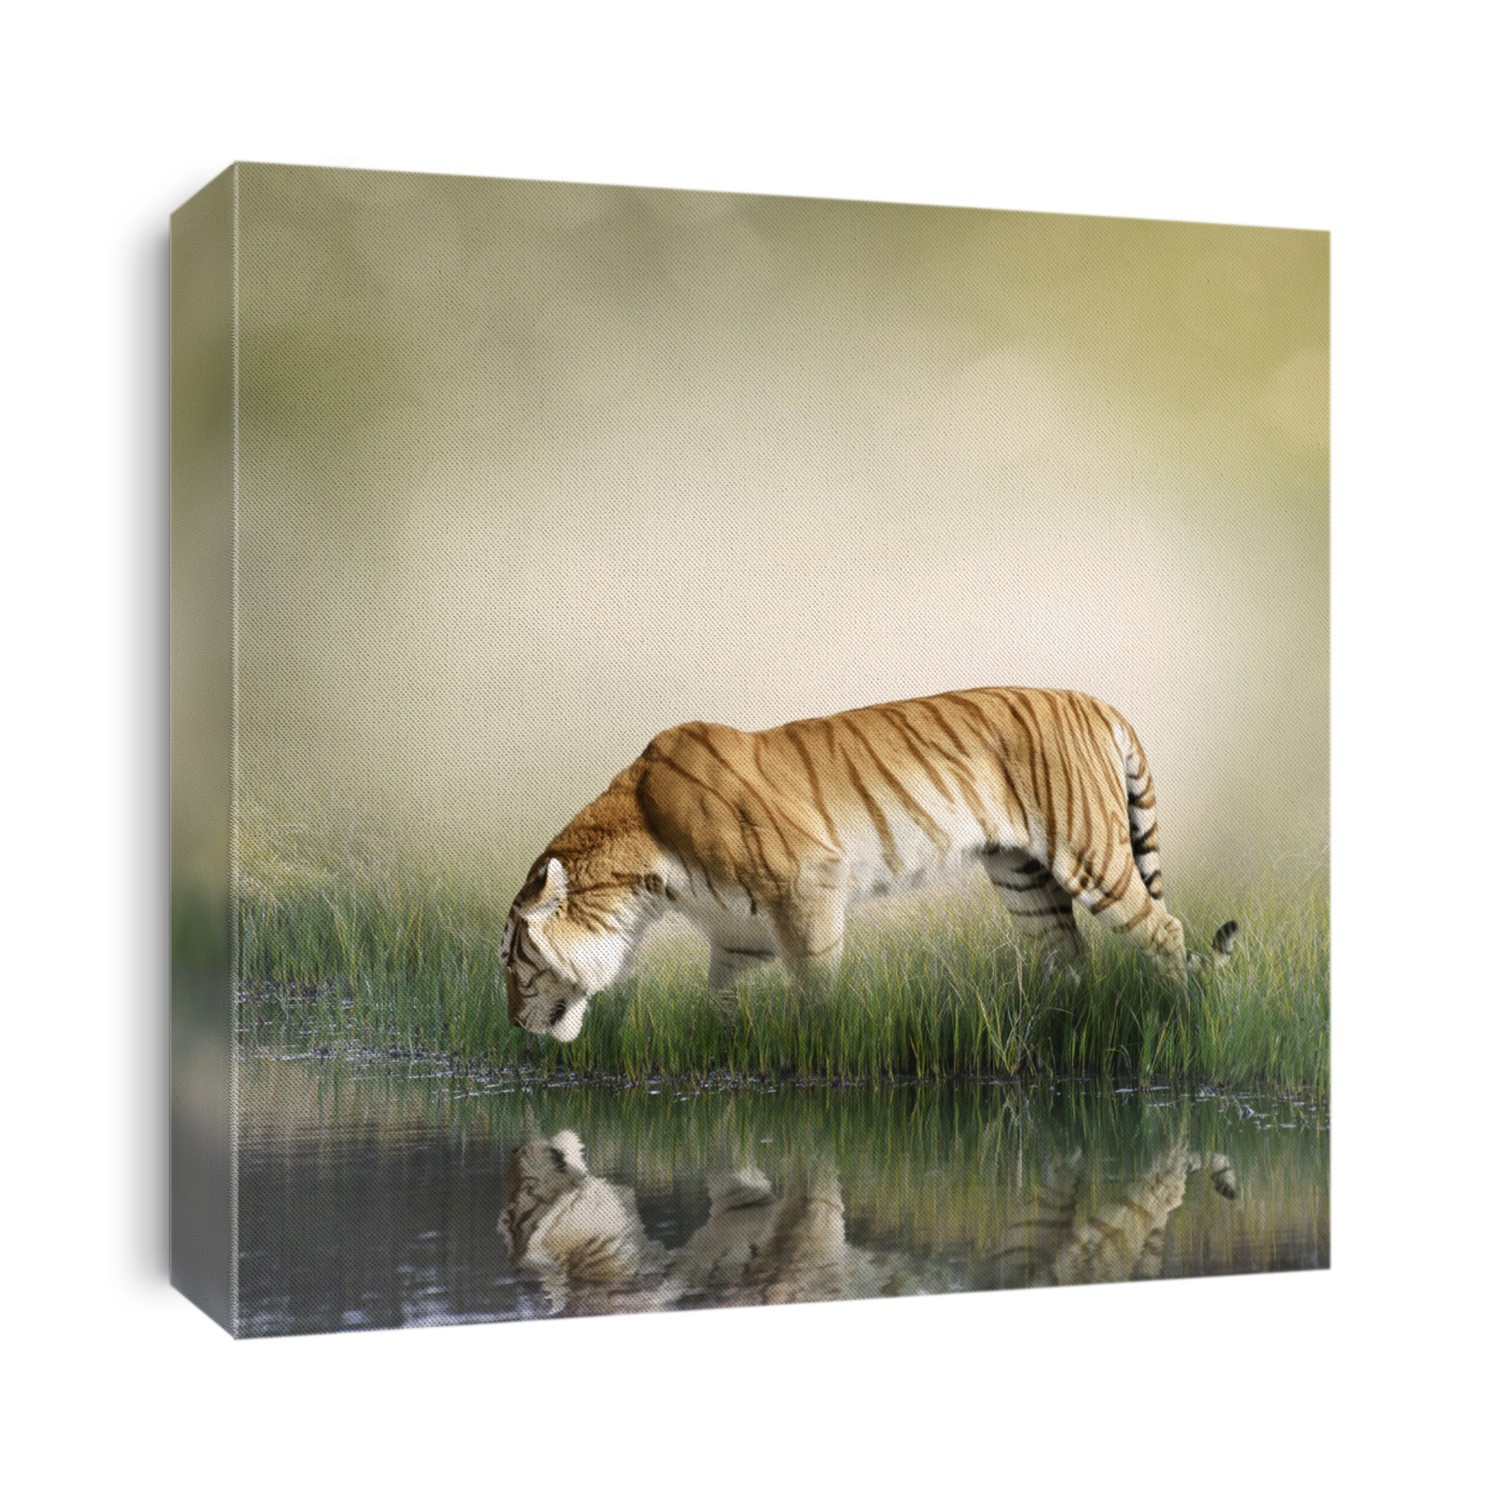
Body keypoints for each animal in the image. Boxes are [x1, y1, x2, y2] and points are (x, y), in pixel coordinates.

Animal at [502, 686, 1238, 1041]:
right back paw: (1056, 1032)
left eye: (512, 960)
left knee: (1164, 930)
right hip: (1024, 876)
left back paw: (1178, 1018)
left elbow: (817, 992)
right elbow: (720, 1000)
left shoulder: (806, 883)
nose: (510, 1023)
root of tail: (1092, 699)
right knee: (1069, 957)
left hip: (1089, 853)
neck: (645, 884)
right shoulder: (738, 933)